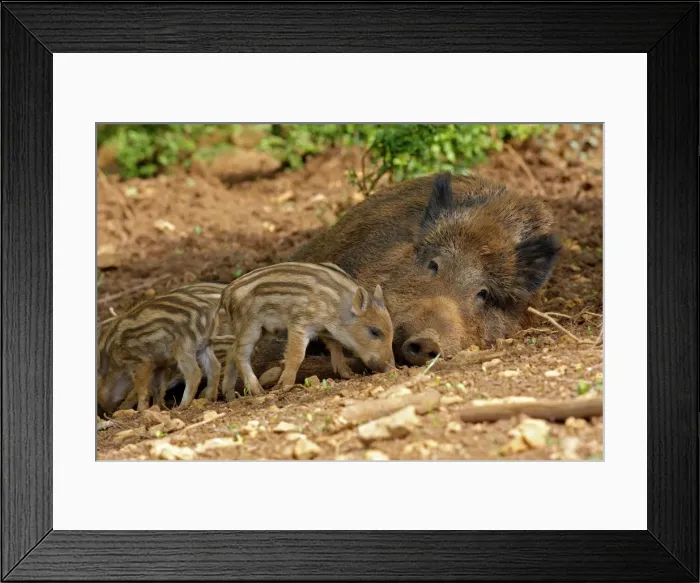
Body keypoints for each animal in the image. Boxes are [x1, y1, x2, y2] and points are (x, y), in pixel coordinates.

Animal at [97, 283, 226, 414]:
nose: (109, 412)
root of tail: (211, 312)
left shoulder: (140, 361)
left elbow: (141, 388)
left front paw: (141, 410)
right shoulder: (160, 364)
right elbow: (157, 386)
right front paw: (159, 407)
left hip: (184, 347)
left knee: (194, 373)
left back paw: (182, 406)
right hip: (204, 345)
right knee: (215, 366)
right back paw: (210, 397)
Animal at [217, 261, 395, 399]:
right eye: (374, 332)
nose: (392, 369)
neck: (337, 308)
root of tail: (226, 293)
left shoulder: (324, 330)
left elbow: (336, 347)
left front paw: (348, 374)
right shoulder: (299, 324)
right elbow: (297, 356)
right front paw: (285, 386)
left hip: (265, 331)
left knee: (231, 350)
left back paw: (230, 395)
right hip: (250, 326)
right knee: (240, 354)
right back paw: (257, 391)